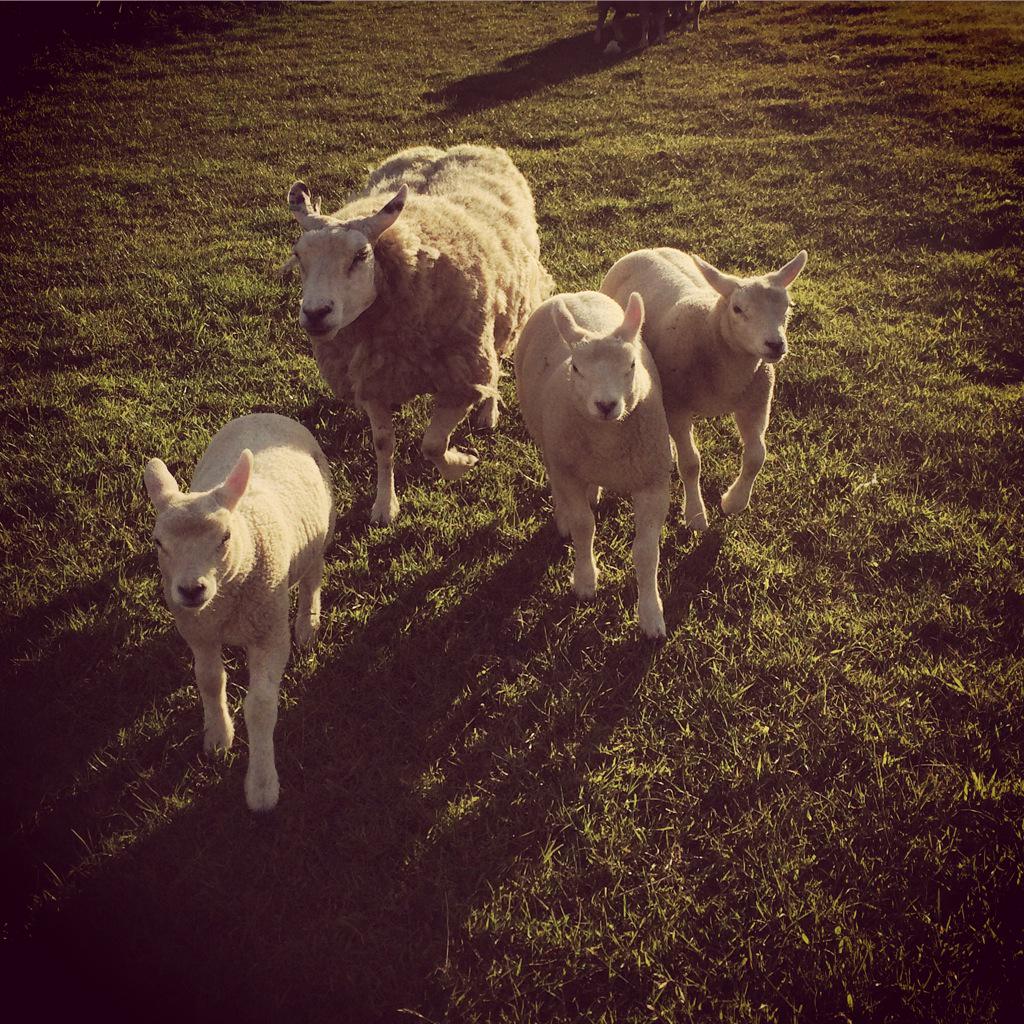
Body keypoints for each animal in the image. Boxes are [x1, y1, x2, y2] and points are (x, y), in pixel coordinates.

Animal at [143, 413, 335, 812]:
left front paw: (261, 786)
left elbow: (259, 707)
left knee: (313, 575)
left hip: (322, 529)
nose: (191, 590)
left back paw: (308, 623)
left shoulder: (270, 635)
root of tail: (265, 413)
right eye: (158, 542)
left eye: (225, 537)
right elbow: (209, 679)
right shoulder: (198, 632)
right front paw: (218, 735)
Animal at [280, 144, 553, 526]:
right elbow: (383, 446)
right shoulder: (372, 379)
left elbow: (433, 444)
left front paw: (460, 465)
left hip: (503, 313)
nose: (315, 314)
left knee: (496, 361)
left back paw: (489, 412)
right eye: (298, 255)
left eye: (361, 255)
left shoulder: (459, 378)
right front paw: (384, 505)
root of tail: (457, 147)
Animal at [515, 290, 674, 638]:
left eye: (631, 364)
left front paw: (651, 615)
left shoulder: (653, 483)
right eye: (576, 368)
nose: (605, 404)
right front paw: (586, 581)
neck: (607, 441)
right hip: (548, 441)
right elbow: (583, 525)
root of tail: (571, 295)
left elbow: (646, 552)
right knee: (554, 477)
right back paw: (562, 515)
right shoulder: (569, 471)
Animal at [600, 247, 808, 530]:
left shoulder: (756, 402)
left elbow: (756, 456)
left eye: (787, 306)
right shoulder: (677, 406)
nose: (775, 345)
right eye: (738, 309)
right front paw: (696, 515)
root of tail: (645, 250)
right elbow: (690, 463)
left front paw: (733, 502)